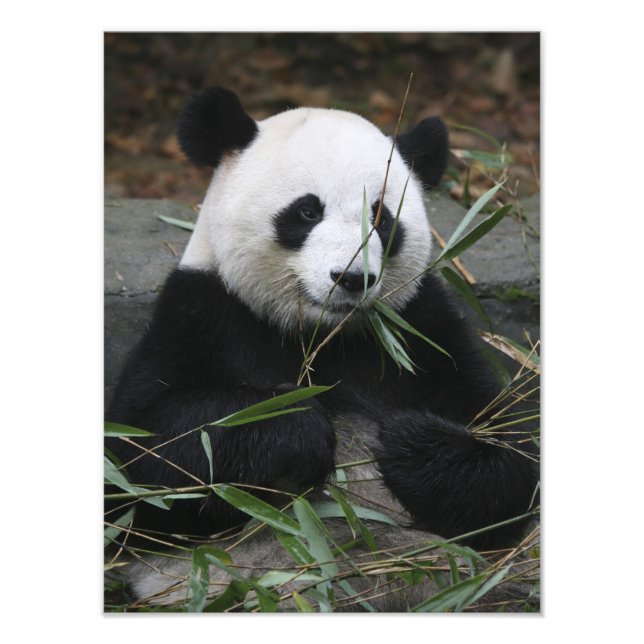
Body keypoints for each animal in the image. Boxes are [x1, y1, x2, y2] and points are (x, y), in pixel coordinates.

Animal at [106, 87, 539, 610]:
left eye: (380, 217)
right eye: (307, 211)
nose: (351, 279)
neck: (321, 334)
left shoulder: (423, 330)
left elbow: (511, 455)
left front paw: (407, 442)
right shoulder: (202, 313)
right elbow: (145, 462)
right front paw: (298, 426)